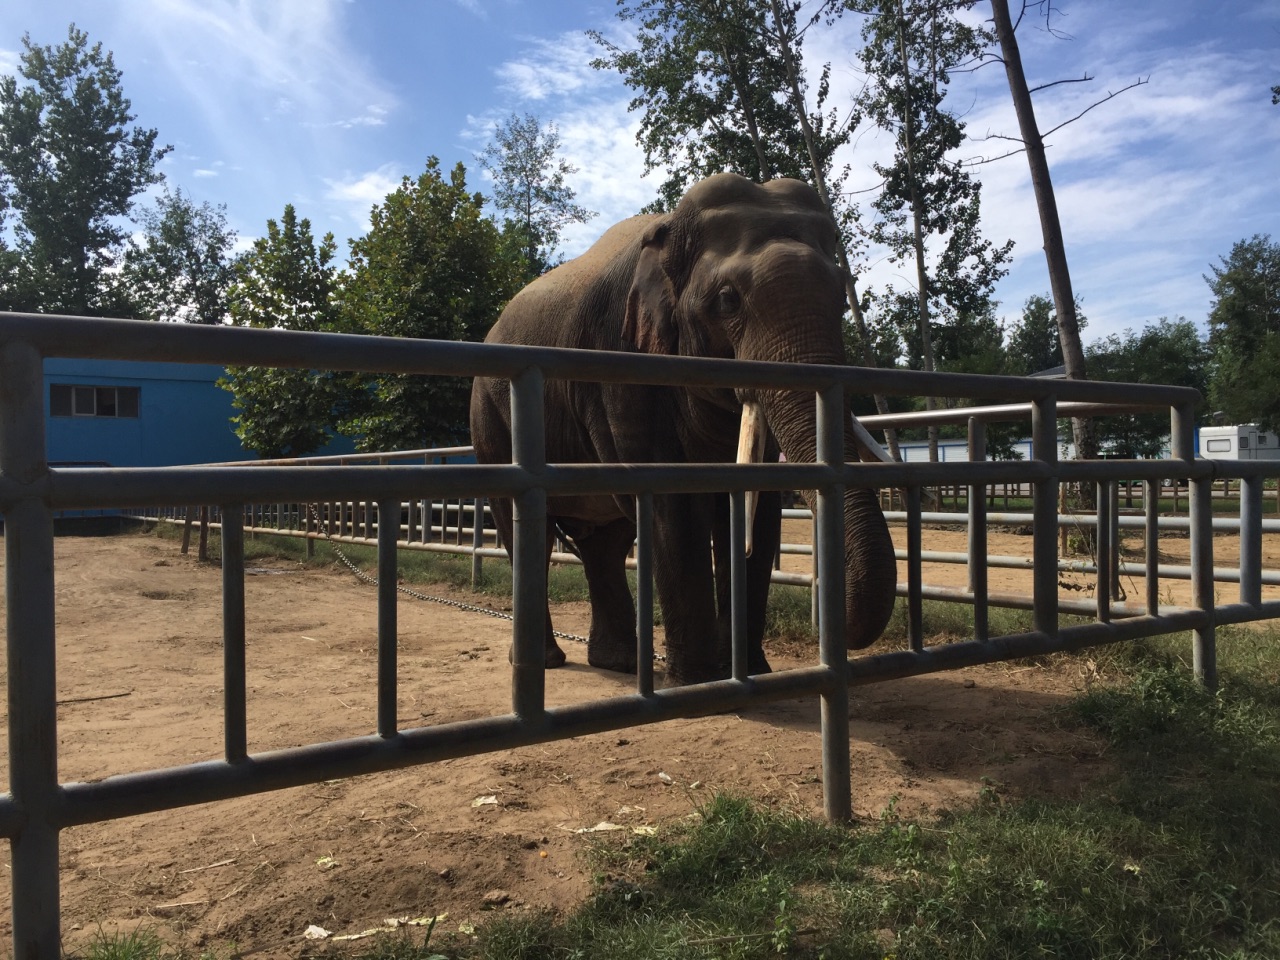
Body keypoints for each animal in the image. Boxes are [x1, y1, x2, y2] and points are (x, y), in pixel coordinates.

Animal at [465, 171, 896, 686]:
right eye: (728, 300)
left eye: (842, 299)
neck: (669, 233)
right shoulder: (623, 364)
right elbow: (673, 507)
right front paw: (698, 680)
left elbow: (758, 508)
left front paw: (750, 673)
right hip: (490, 422)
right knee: (531, 537)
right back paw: (550, 660)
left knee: (604, 543)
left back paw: (620, 663)